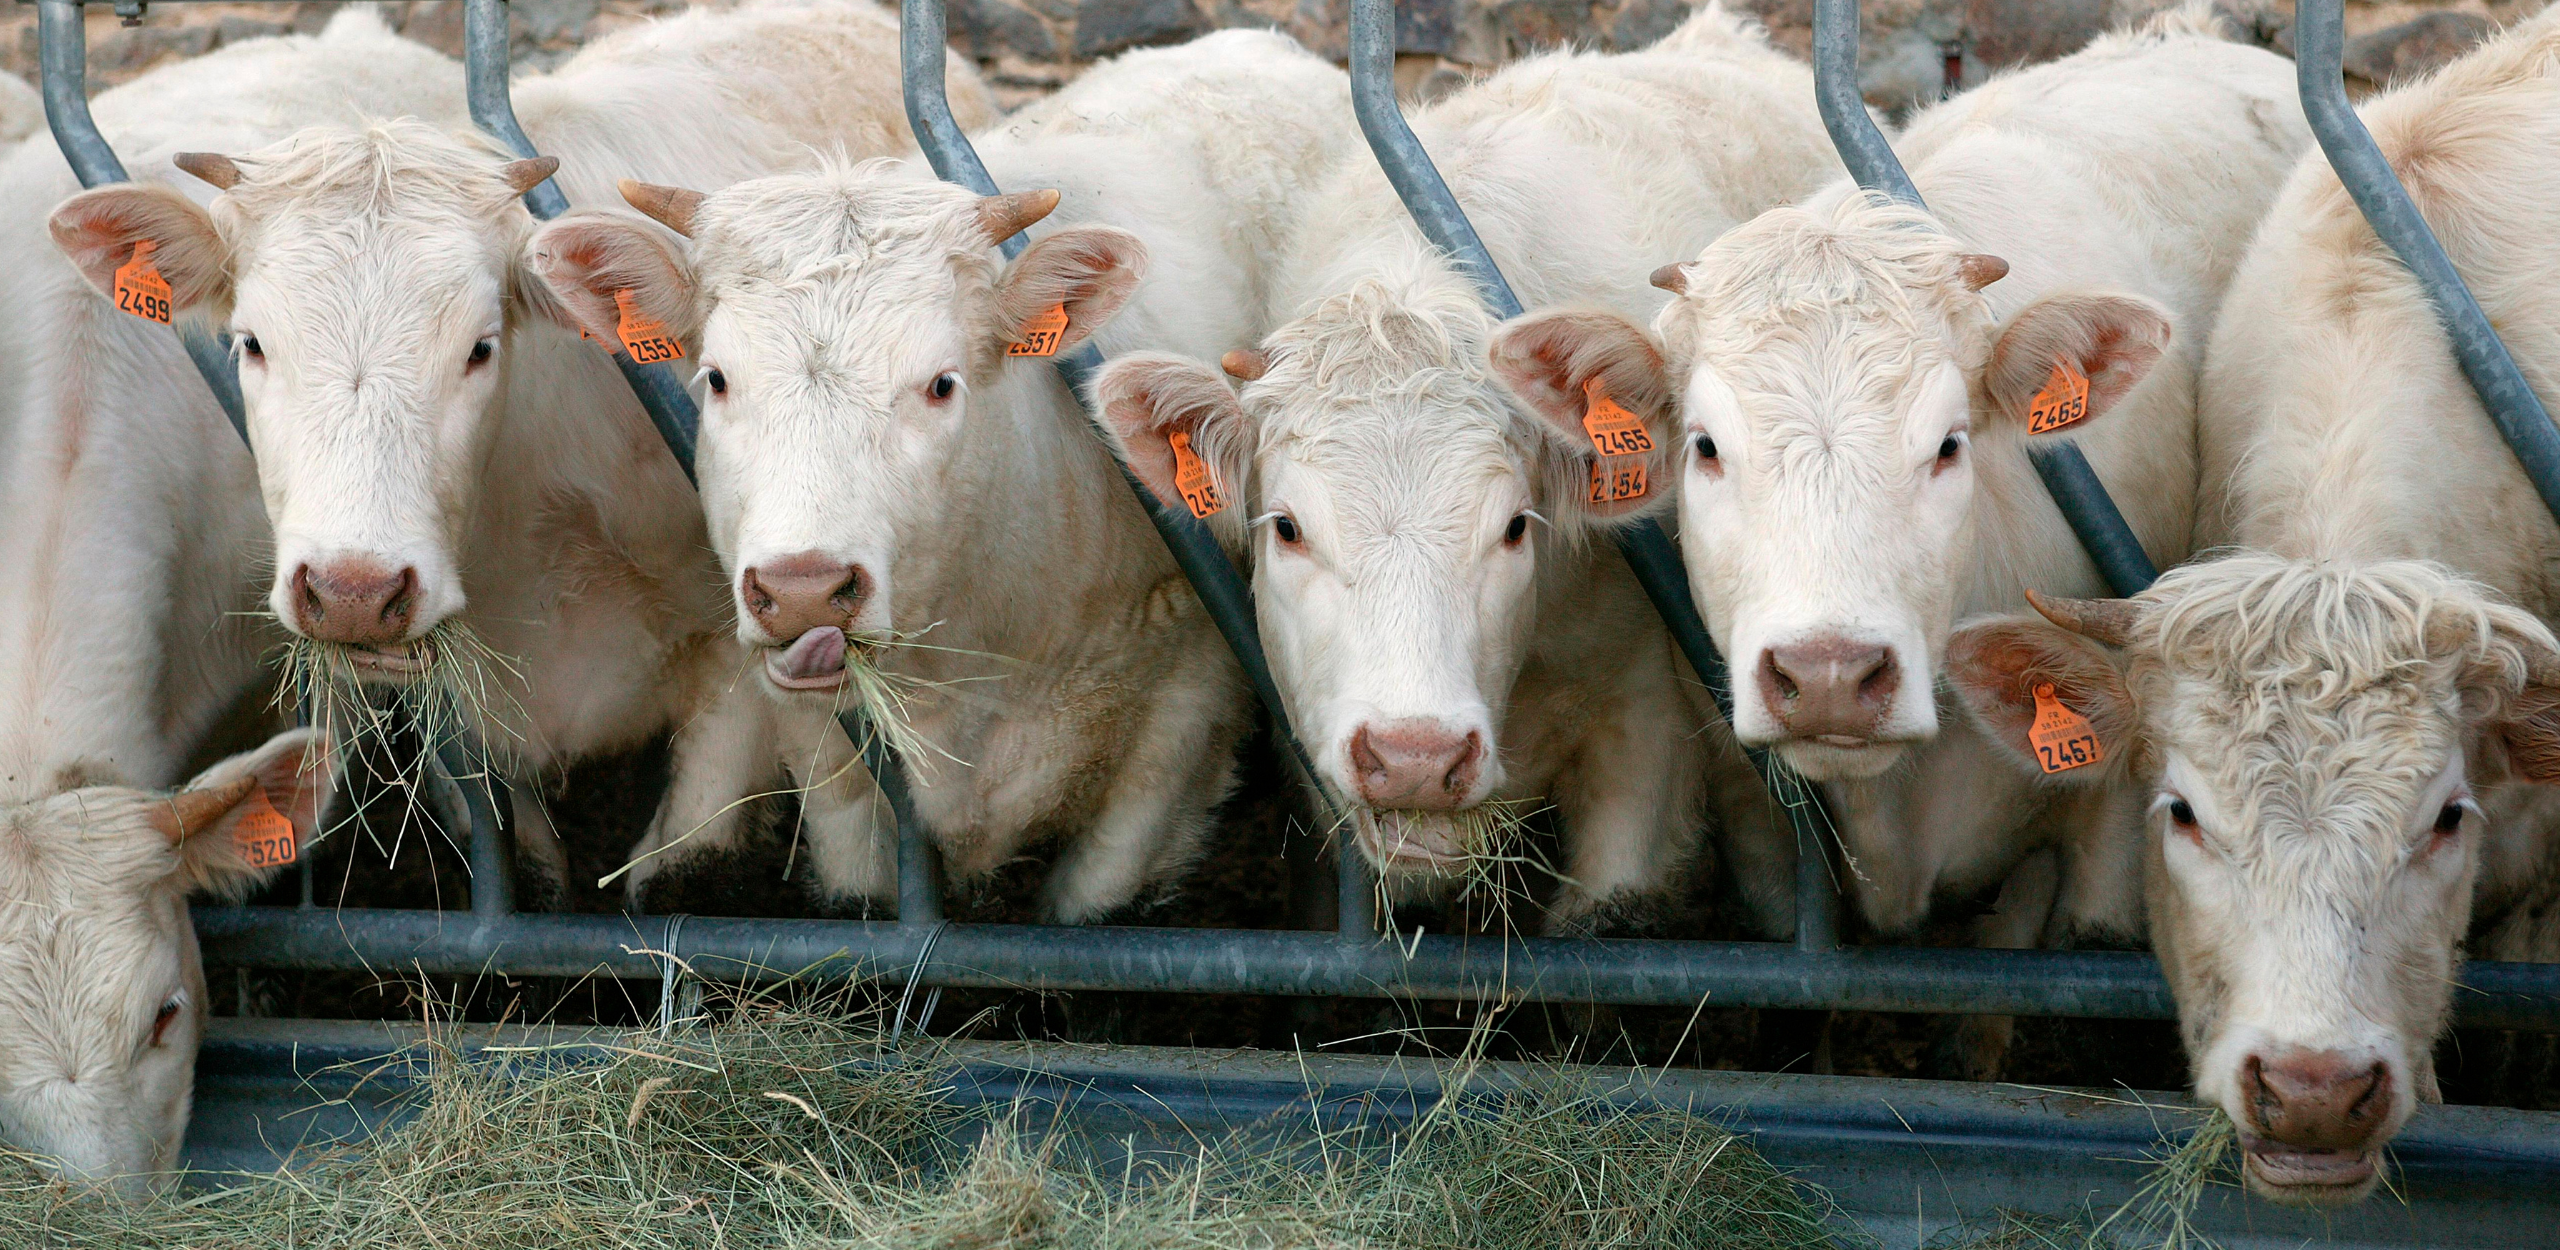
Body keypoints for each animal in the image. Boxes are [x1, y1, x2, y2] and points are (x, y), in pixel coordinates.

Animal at [37, 0, 997, 907]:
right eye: (250, 343)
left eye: (480, 347)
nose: (352, 592)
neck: (534, 532)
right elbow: (515, 856)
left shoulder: (746, 628)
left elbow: (688, 862)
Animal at [525, 30, 1356, 919]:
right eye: (715, 378)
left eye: (941, 383)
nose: (802, 589)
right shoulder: (827, 750)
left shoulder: (1186, 719)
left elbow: (1095, 899)